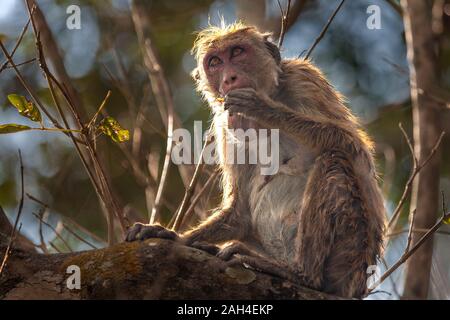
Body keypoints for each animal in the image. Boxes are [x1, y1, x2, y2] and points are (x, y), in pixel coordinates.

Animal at [127, 23, 386, 300]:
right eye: (215, 62)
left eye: (237, 52)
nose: (229, 79)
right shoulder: (224, 124)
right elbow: (240, 211)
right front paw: (172, 236)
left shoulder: (304, 80)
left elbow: (354, 148)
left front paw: (264, 108)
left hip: (349, 257)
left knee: (334, 162)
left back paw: (302, 275)